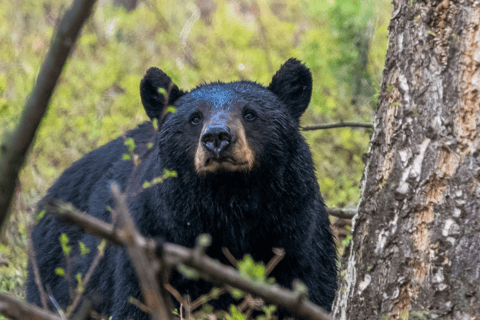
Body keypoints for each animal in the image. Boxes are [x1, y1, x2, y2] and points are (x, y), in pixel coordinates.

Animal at [27, 58, 338, 318]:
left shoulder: (297, 231)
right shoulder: (155, 231)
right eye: (195, 117)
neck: (230, 200)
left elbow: (311, 288)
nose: (217, 137)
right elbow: (137, 301)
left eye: (250, 114)